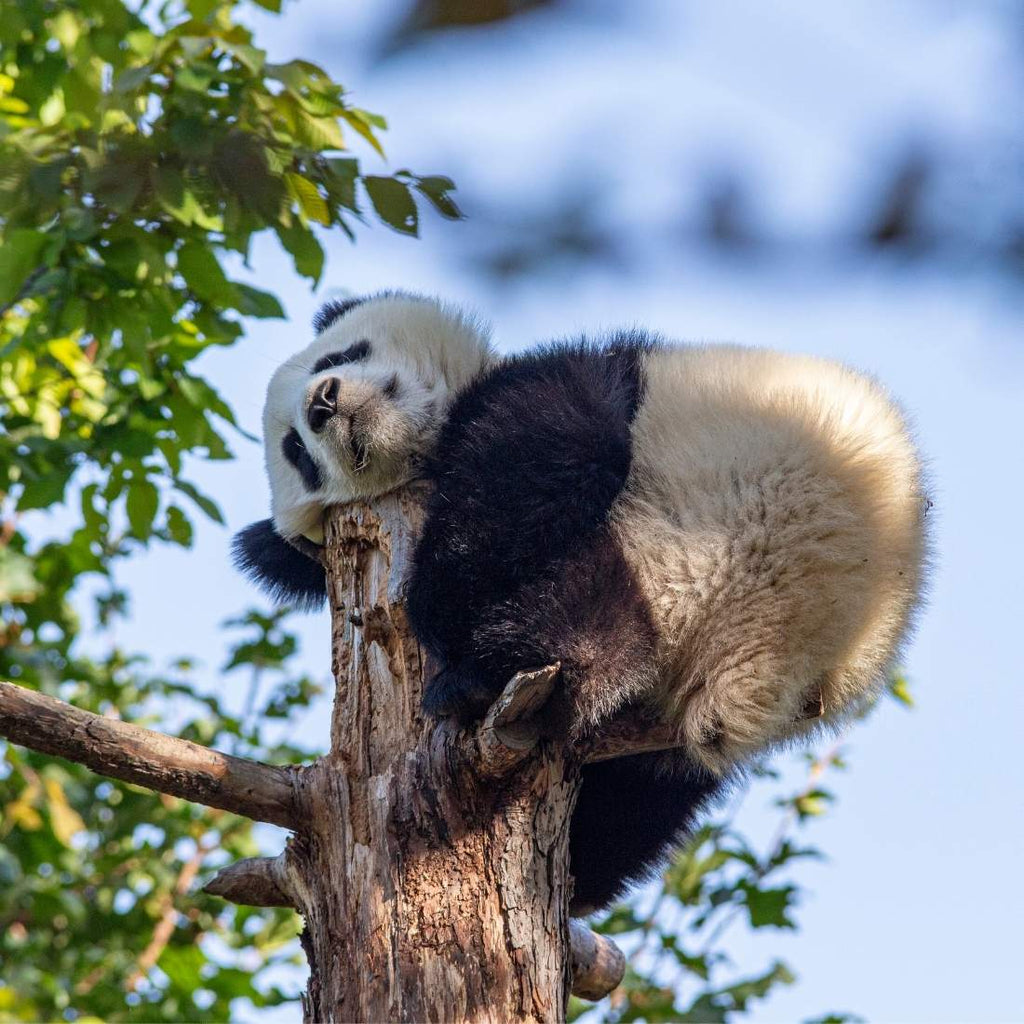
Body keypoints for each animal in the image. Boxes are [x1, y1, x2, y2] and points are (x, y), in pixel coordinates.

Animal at [234, 288, 929, 913]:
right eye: (297, 453)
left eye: (339, 355)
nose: (322, 402)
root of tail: (762, 656)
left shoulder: (590, 376)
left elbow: (542, 447)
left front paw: (433, 605)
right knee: (630, 796)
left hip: (710, 524)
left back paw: (478, 675)